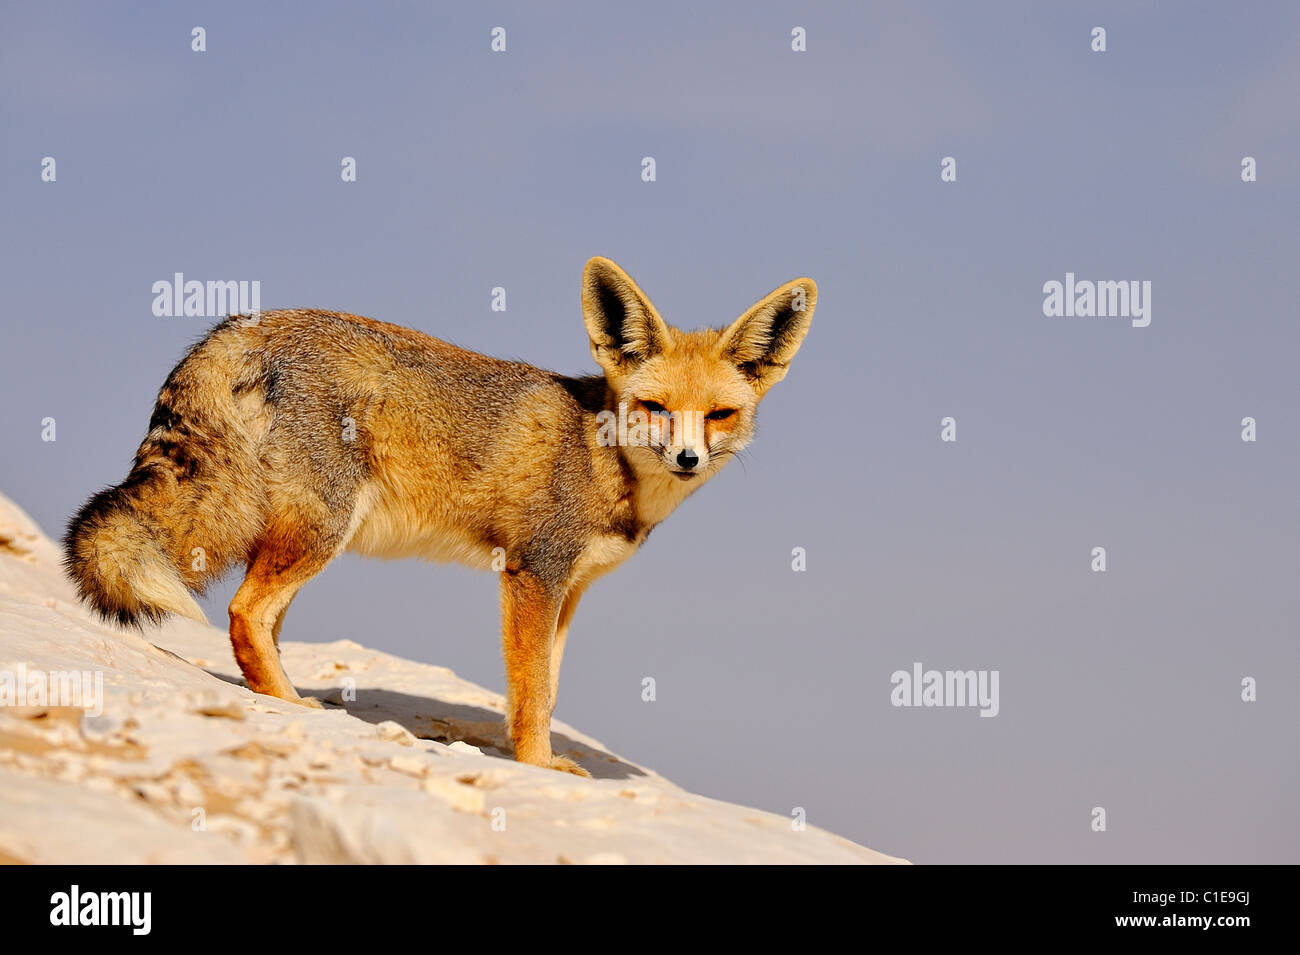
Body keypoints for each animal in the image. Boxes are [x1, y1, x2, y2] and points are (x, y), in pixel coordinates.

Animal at [64, 257, 816, 775]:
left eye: (719, 414)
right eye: (656, 408)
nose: (687, 458)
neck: (608, 467)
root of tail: (241, 327)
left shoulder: (568, 588)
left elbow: (547, 687)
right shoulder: (533, 575)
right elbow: (531, 690)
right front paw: (537, 768)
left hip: (303, 539)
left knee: (258, 622)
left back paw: (280, 694)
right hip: (322, 530)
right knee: (244, 612)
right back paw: (292, 706)